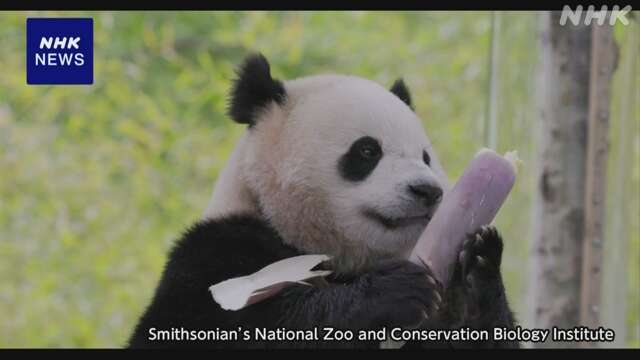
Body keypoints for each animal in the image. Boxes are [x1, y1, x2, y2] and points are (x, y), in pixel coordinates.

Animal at [126, 54, 520, 348]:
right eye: (367, 150)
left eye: (425, 157)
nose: (428, 191)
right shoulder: (216, 250)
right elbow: (208, 325)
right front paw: (394, 291)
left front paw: (478, 264)